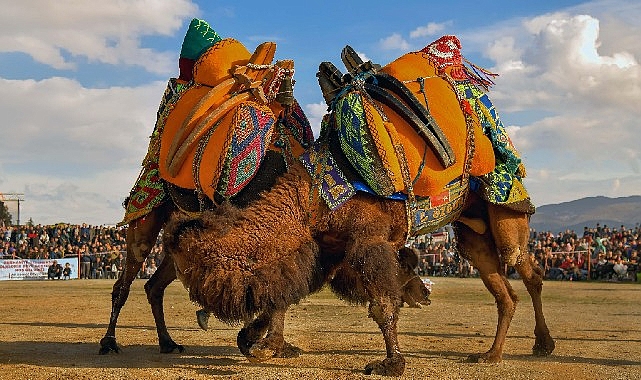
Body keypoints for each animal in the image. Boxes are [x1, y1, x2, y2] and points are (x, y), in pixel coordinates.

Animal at [161, 37, 556, 376]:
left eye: (191, 270)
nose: (200, 309)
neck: (311, 197)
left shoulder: (368, 239)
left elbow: (381, 303)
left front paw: (391, 363)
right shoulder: (330, 247)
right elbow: (289, 295)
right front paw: (255, 343)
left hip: (504, 207)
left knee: (526, 268)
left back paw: (542, 344)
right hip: (472, 231)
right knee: (504, 291)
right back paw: (492, 353)